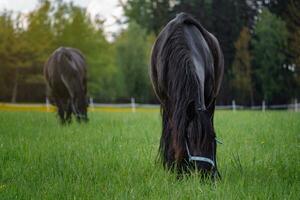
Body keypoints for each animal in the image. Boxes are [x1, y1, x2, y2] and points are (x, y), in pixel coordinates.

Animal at [149, 12, 223, 178]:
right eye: (189, 138)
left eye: (213, 138)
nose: (205, 174)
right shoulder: (170, 105)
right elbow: (175, 132)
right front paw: (178, 170)